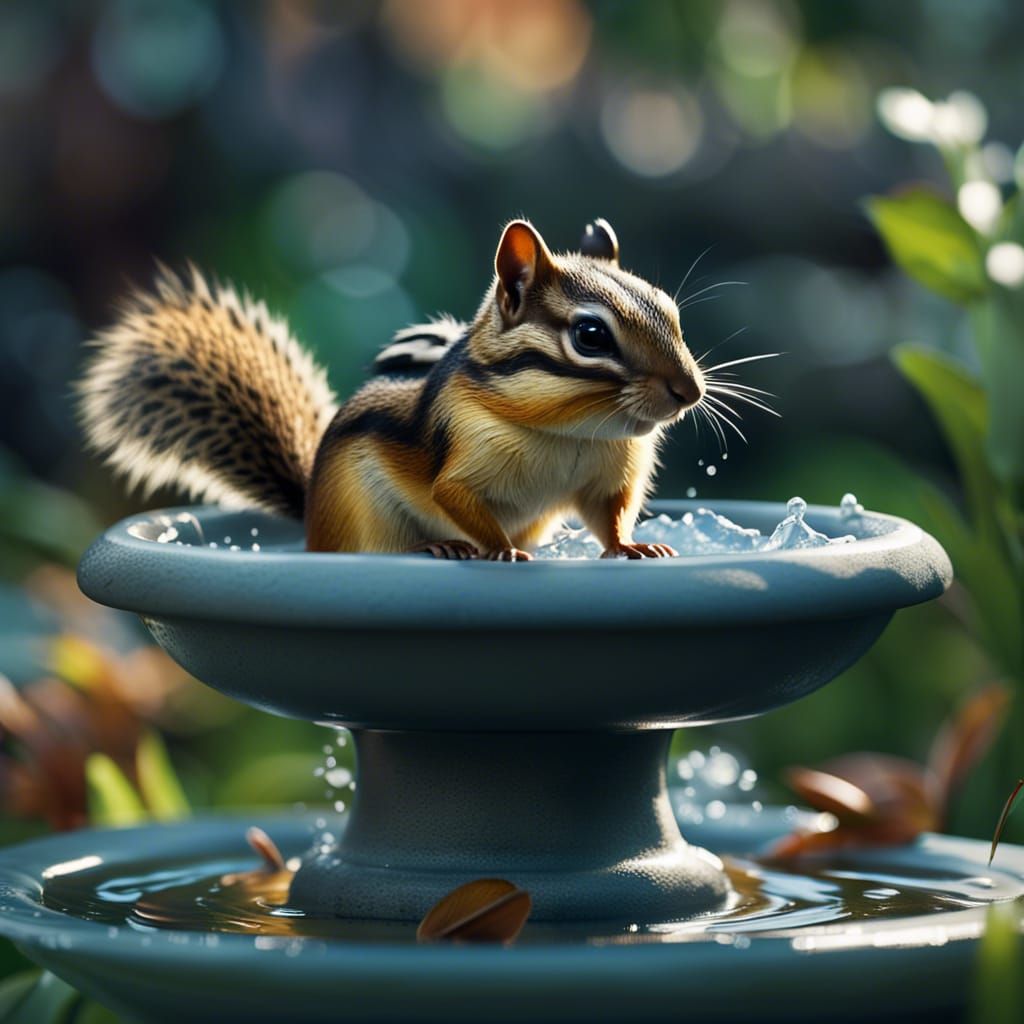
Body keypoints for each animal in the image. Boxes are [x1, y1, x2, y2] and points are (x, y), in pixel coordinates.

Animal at [79, 218, 705, 561]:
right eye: (591, 335)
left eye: (671, 312)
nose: (689, 391)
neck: (573, 432)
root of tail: (311, 521)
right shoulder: (464, 461)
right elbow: (457, 499)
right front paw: (499, 548)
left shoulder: (607, 476)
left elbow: (610, 516)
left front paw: (632, 547)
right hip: (363, 518)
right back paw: (436, 546)